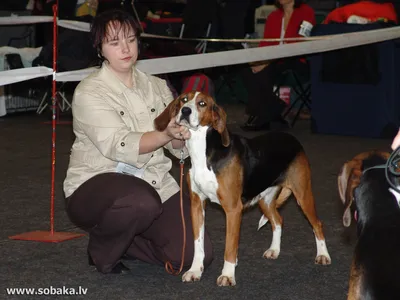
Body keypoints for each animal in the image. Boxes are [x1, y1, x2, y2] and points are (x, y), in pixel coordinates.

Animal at [154, 91, 332, 286]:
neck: (204, 150)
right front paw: (195, 271)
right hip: (265, 200)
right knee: (278, 220)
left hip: (303, 195)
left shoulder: (233, 209)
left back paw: (323, 255)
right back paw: (274, 250)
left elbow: (230, 246)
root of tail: (292, 139)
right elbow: (198, 244)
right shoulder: (197, 205)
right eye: (184, 100)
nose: (185, 111)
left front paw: (227, 275)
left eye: (202, 103)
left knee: (317, 224)